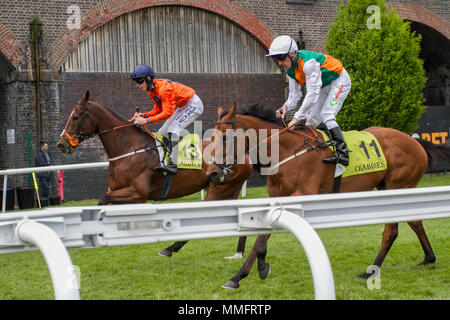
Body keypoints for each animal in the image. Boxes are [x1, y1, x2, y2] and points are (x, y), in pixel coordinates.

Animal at [57, 90, 253, 258]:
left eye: (75, 117)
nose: (61, 144)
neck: (130, 149)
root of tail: (245, 155)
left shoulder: (138, 194)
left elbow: (102, 200)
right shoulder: (116, 190)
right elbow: (104, 205)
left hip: (217, 189)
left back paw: (170, 248)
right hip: (229, 188)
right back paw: (238, 251)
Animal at [207, 104, 450, 288]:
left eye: (225, 138)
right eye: (212, 137)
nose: (212, 173)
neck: (286, 151)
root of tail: (414, 141)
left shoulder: (301, 193)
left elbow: (261, 238)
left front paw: (254, 269)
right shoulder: (276, 197)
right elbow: (263, 234)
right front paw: (241, 275)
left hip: (397, 187)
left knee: (391, 232)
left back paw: (370, 272)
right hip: (390, 189)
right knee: (415, 221)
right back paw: (428, 258)